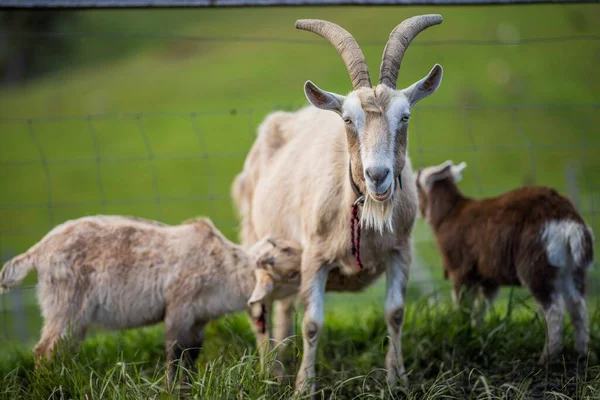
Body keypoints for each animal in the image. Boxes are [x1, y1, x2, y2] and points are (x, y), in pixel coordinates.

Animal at [0, 216, 300, 384]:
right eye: (293, 273)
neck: (225, 268)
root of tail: (39, 250)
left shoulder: (199, 319)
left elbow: (191, 355)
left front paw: (188, 386)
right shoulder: (179, 306)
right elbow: (174, 353)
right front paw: (171, 388)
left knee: (61, 349)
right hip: (65, 303)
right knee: (44, 351)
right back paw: (48, 385)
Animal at [418, 160, 596, 362]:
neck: (449, 214)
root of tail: (568, 220)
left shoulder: (460, 270)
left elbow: (464, 304)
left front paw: (462, 330)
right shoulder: (488, 278)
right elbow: (482, 306)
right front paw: (477, 333)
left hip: (537, 263)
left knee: (554, 309)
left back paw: (547, 357)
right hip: (570, 267)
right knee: (578, 305)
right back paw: (581, 353)